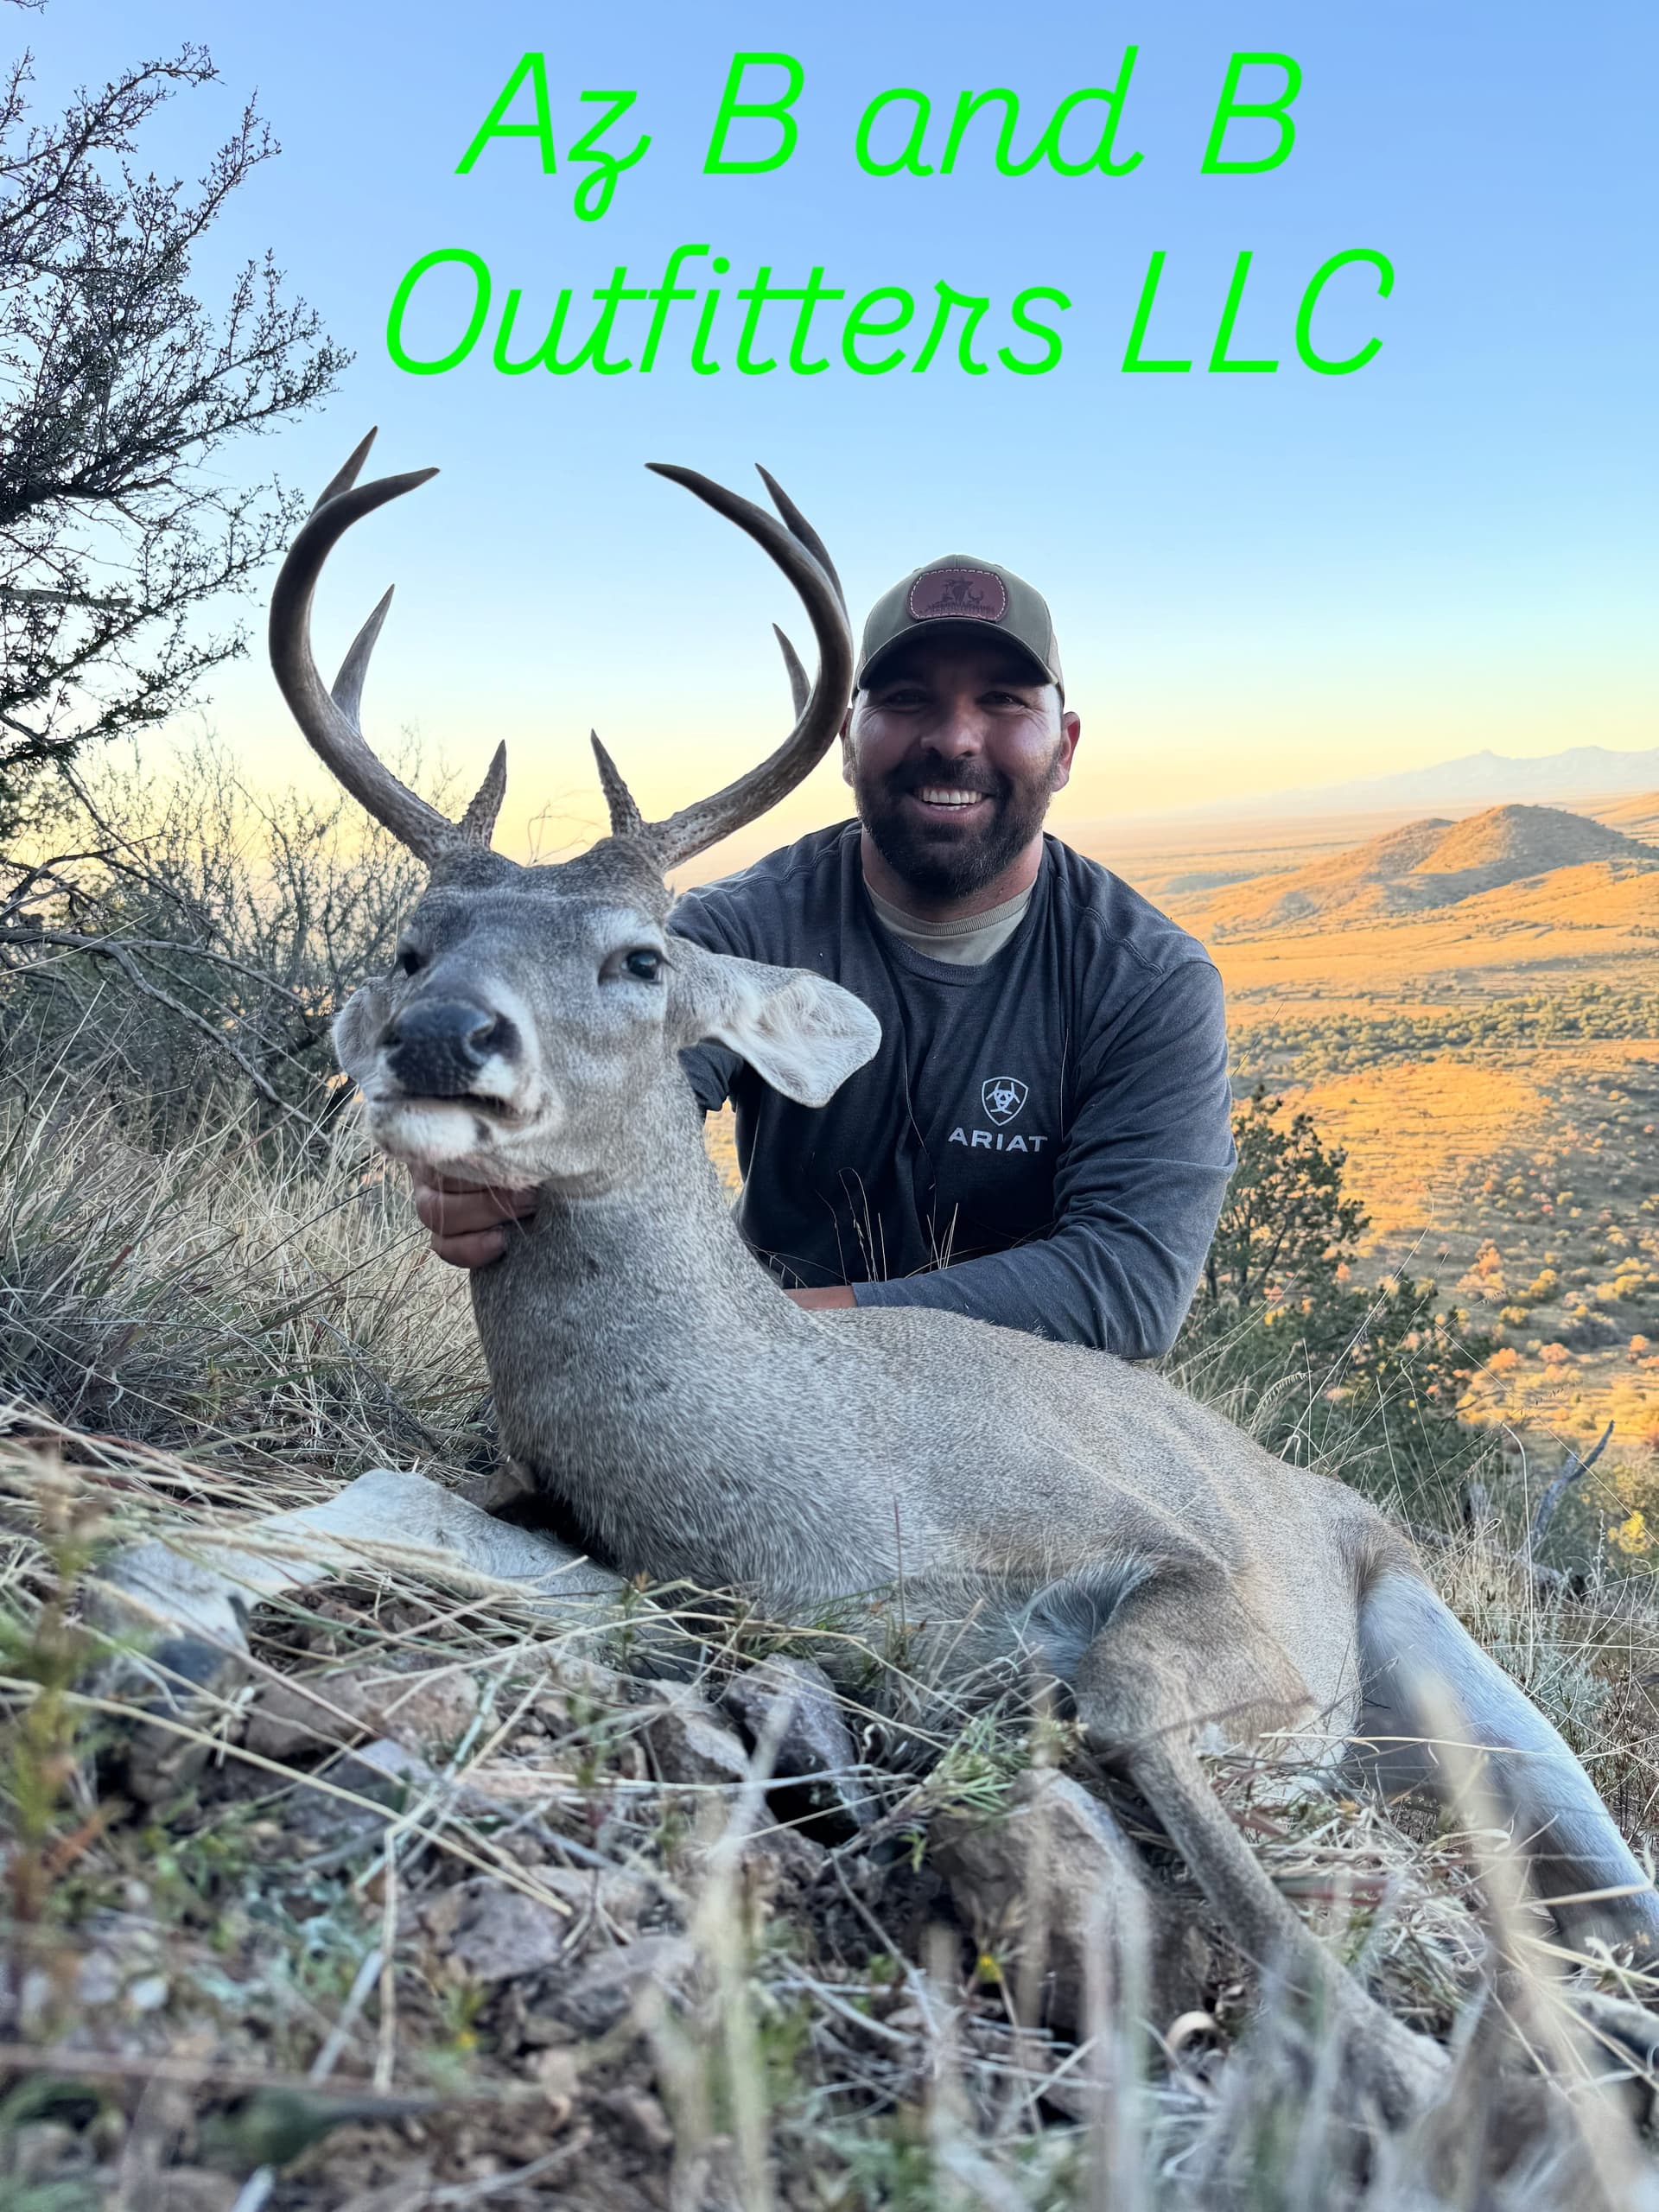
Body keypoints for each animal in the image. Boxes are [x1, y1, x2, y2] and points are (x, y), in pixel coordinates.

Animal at [91, 432, 1659, 2123]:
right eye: (409, 942)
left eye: (642, 955)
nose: (442, 1039)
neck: (827, 1480)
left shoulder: (1169, 1563)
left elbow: (1127, 1700)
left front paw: (1407, 2058)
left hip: (1466, 1675)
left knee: (1596, 1892)